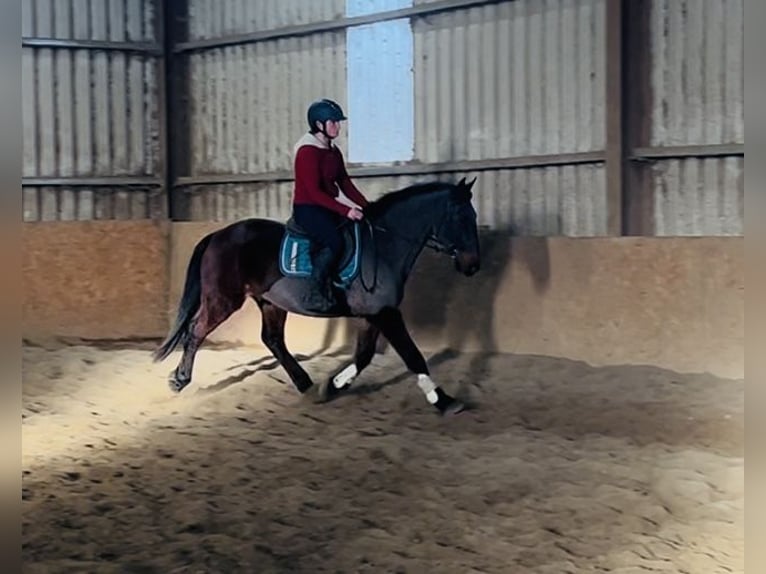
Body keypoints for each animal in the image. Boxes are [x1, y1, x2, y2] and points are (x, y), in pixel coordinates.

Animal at [152, 177, 481, 415]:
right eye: (462, 217)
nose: (473, 265)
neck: (384, 246)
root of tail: (217, 235)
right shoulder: (385, 313)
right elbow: (412, 356)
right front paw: (444, 400)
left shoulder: (372, 314)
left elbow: (364, 356)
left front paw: (332, 386)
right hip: (223, 300)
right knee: (195, 331)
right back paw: (179, 380)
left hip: (270, 302)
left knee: (273, 340)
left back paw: (306, 385)